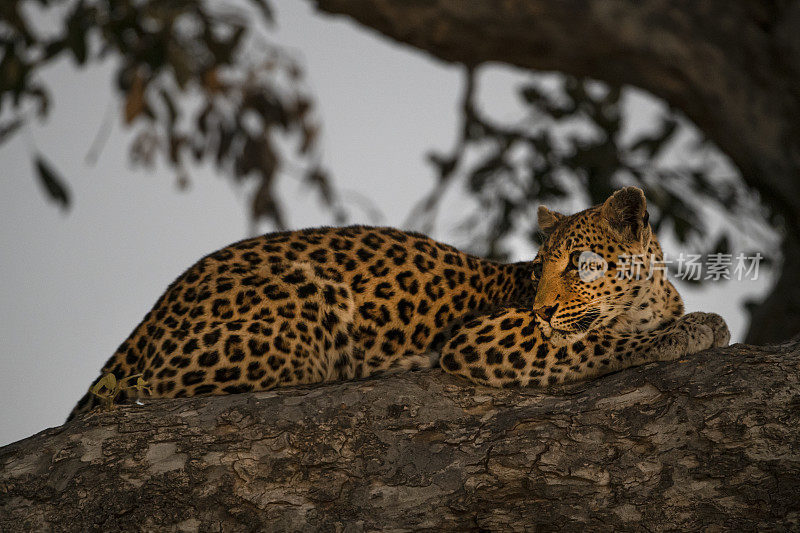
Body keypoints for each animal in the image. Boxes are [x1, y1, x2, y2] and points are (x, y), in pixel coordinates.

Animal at [69, 185, 732, 418]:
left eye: (580, 265)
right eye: (541, 266)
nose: (544, 309)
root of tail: (165, 300)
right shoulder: (484, 336)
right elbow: (603, 338)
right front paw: (697, 327)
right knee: (150, 387)